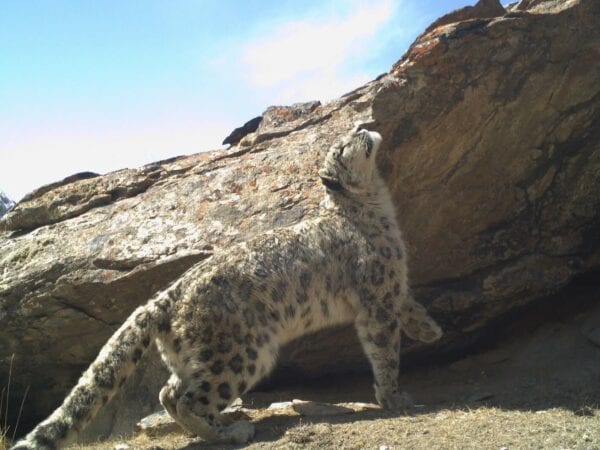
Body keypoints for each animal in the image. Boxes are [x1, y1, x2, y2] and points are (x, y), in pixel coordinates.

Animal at [9, 125, 440, 448]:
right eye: (343, 145)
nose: (361, 125)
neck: (378, 208)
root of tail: (162, 298)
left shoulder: (394, 283)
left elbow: (408, 305)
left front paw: (429, 329)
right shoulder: (377, 298)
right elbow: (385, 350)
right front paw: (394, 397)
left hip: (195, 355)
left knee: (168, 391)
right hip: (242, 353)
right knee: (189, 398)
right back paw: (233, 432)